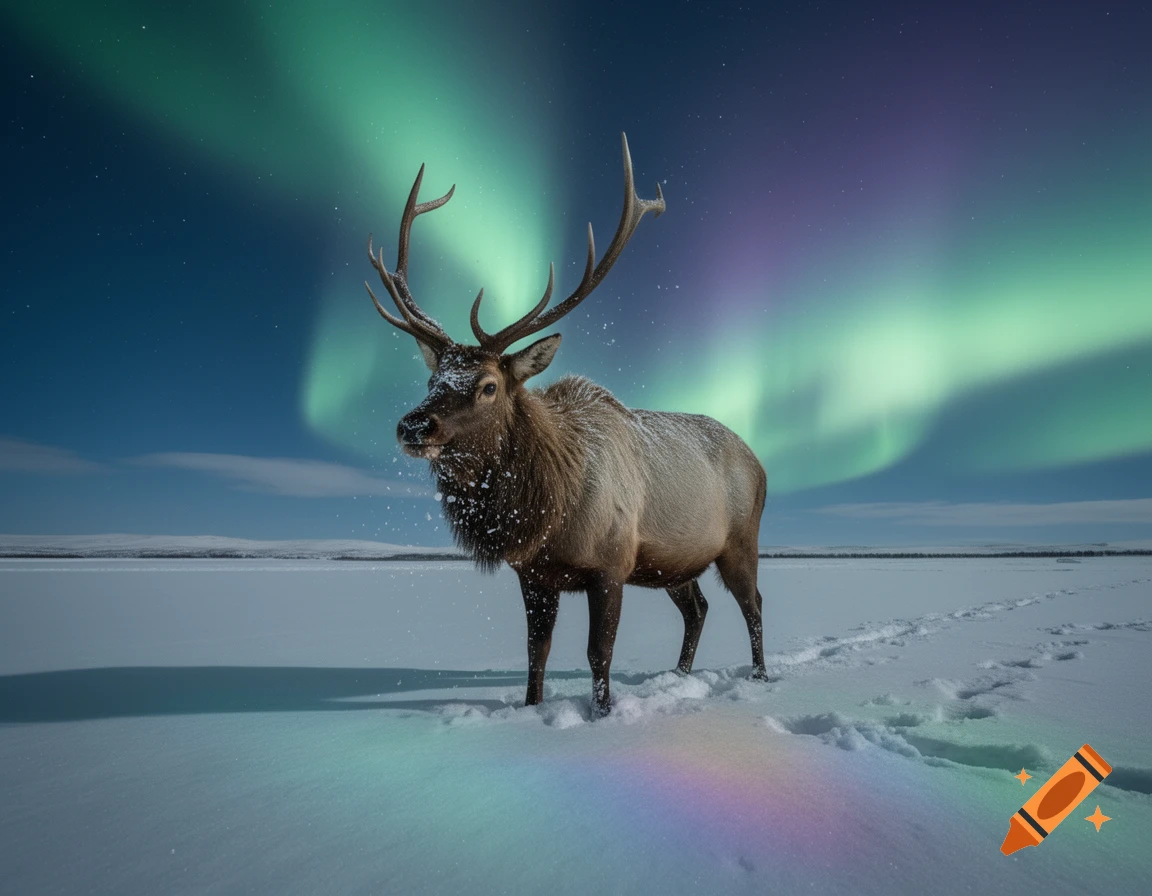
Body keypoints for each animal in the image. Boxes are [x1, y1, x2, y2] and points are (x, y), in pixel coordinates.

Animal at [365, 134, 768, 716]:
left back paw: (760, 676)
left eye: (489, 385)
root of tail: (759, 462)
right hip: (673, 561)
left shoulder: (610, 564)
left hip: (739, 540)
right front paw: (531, 710)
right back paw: (679, 674)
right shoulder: (534, 574)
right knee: (697, 607)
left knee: (752, 602)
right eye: (432, 378)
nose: (414, 426)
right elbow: (538, 651)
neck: (546, 512)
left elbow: (599, 654)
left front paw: (603, 712)